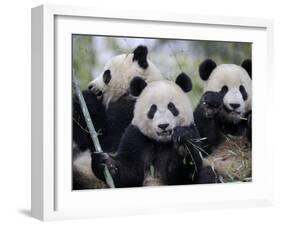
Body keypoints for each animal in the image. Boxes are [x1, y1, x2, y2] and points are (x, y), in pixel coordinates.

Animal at [72, 44, 164, 189]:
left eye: (106, 74)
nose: (90, 86)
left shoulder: (134, 109)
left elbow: (107, 141)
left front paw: (86, 97)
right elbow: (82, 139)